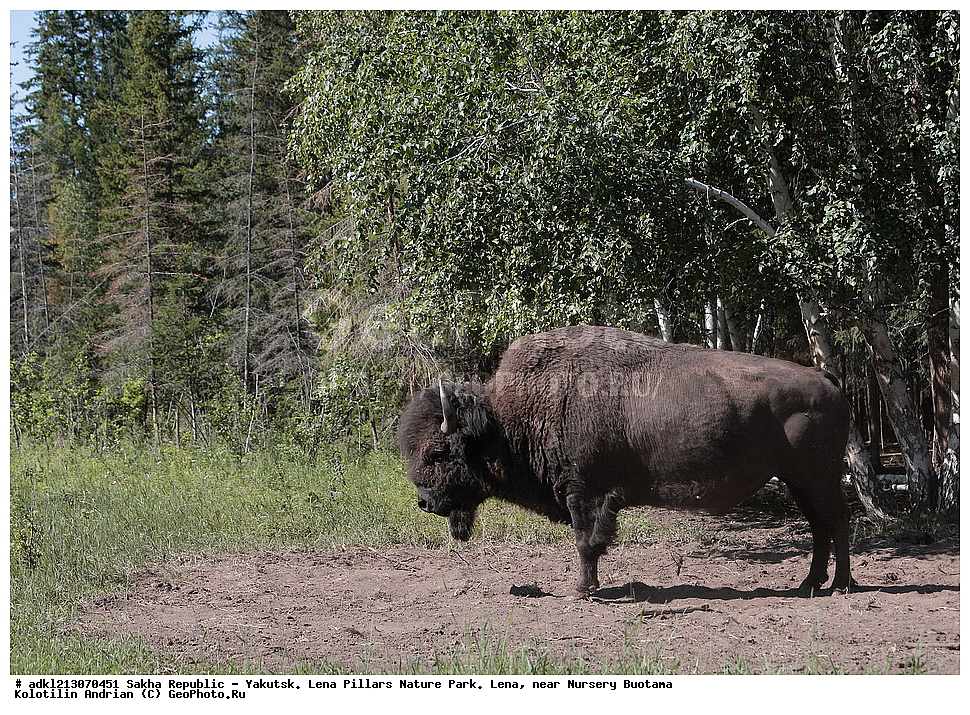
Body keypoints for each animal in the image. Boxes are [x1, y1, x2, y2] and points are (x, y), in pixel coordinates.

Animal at [396, 325, 854, 596]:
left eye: (438, 452)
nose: (423, 502)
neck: (506, 420)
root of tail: (825, 377)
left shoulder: (584, 494)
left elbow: (586, 542)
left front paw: (582, 589)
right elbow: (592, 543)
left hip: (818, 478)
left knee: (835, 521)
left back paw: (842, 585)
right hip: (798, 480)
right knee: (820, 526)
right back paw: (810, 584)